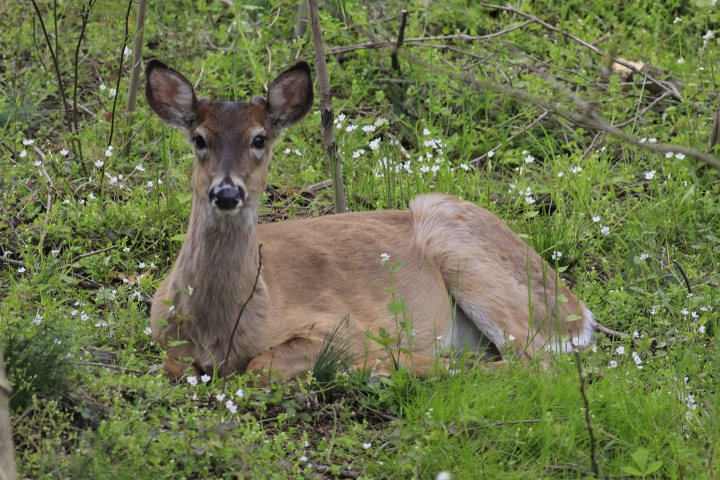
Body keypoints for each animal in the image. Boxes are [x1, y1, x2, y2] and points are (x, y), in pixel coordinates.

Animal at [145, 59, 596, 386]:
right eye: (199, 138)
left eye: (259, 138)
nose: (226, 193)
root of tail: (579, 313)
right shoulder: (164, 338)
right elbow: (175, 367)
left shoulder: (336, 325)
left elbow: (262, 366)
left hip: (477, 264)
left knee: (534, 364)